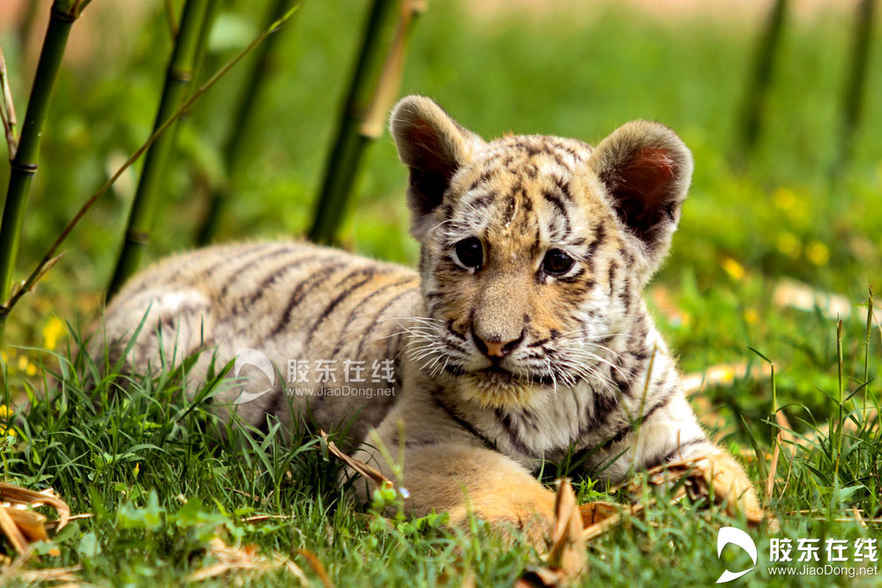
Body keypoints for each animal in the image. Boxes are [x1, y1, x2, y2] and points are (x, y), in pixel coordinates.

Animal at [98, 95, 763, 547]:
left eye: (557, 263)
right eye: (470, 253)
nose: (494, 342)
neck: (560, 401)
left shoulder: (671, 439)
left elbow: (733, 479)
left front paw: (749, 520)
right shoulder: (406, 447)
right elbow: (511, 486)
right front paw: (567, 529)